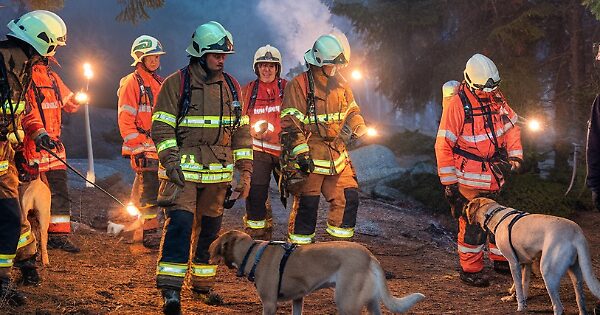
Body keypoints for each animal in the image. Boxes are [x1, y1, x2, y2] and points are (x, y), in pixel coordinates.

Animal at [209, 230, 424, 315]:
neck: (253, 253)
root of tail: (369, 256)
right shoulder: (298, 299)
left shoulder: (269, 304)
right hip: (371, 303)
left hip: (346, 302)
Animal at [468, 196, 600, 314]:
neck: (496, 215)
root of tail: (576, 232)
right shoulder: (526, 264)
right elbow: (523, 284)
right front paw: (518, 300)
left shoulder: (513, 263)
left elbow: (518, 285)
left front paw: (520, 305)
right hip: (576, 274)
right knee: (580, 301)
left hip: (548, 272)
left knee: (558, 307)